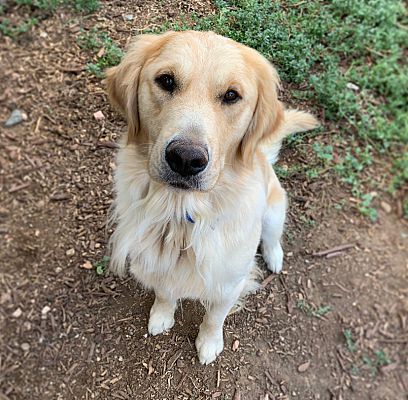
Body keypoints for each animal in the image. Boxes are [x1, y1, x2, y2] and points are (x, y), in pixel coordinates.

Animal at [106, 29, 318, 364]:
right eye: (166, 80)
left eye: (231, 95)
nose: (185, 159)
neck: (181, 217)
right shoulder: (160, 266)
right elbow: (165, 293)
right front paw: (161, 316)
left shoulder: (229, 282)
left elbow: (214, 317)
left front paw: (208, 343)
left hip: (274, 211)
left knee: (273, 237)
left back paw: (274, 257)